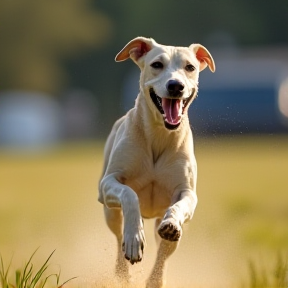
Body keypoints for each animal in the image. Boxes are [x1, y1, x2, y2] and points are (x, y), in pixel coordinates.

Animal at [98, 36, 214, 288]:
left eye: (190, 67)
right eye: (157, 64)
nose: (175, 86)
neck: (160, 134)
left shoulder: (187, 191)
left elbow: (180, 205)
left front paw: (171, 224)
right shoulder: (108, 183)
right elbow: (129, 194)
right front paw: (134, 240)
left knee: (165, 249)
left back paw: (156, 277)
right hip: (110, 213)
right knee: (118, 233)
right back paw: (123, 268)